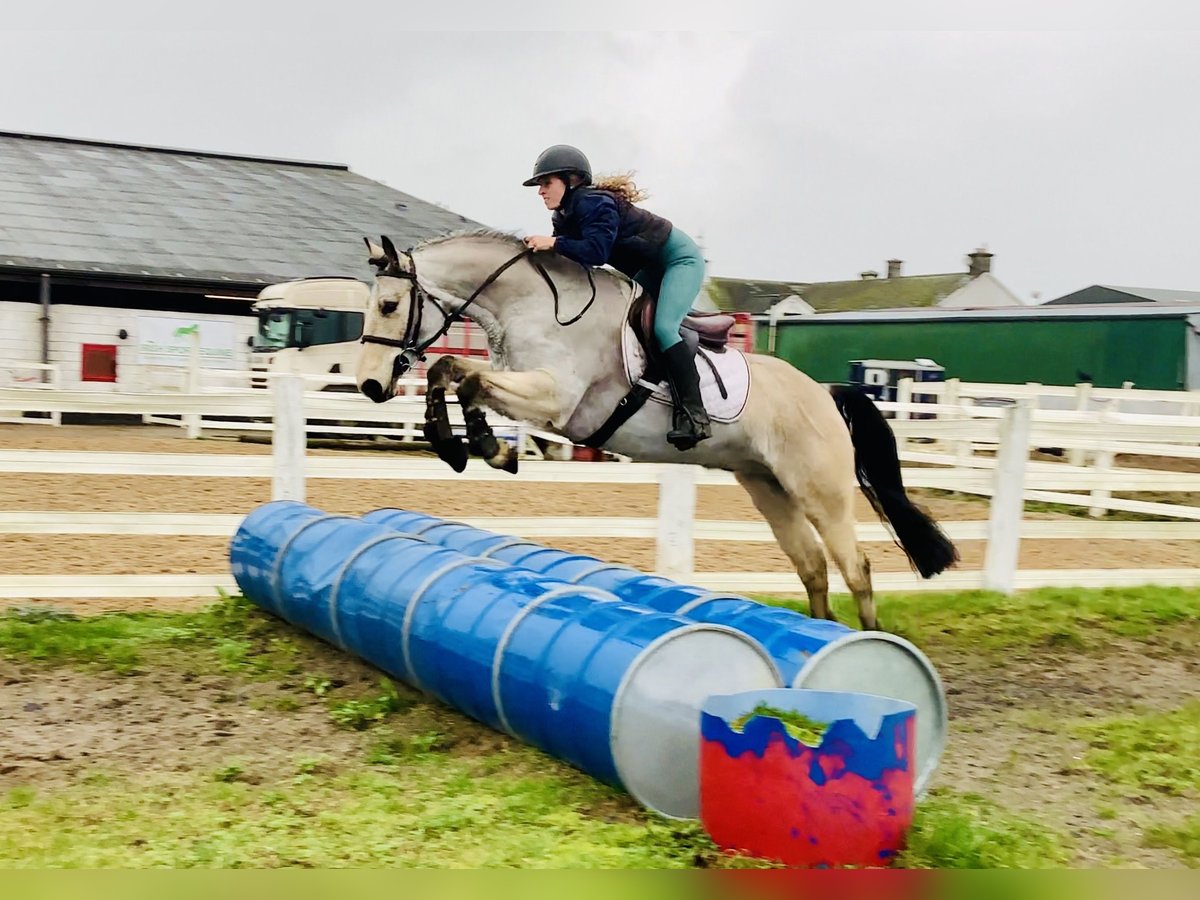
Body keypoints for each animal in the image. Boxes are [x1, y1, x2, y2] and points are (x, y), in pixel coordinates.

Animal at [355, 230, 958, 631]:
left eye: (388, 304)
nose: (369, 385)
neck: (533, 305)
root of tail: (825, 393)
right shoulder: (524, 388)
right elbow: (455, 374)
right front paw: (467, 447)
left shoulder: (556, 398)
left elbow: (466, 379)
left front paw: (478, 447)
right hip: (767, 486)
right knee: (812, 566)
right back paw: (819, 637)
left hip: (820, 490)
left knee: (855, 566)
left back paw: (867, 653)